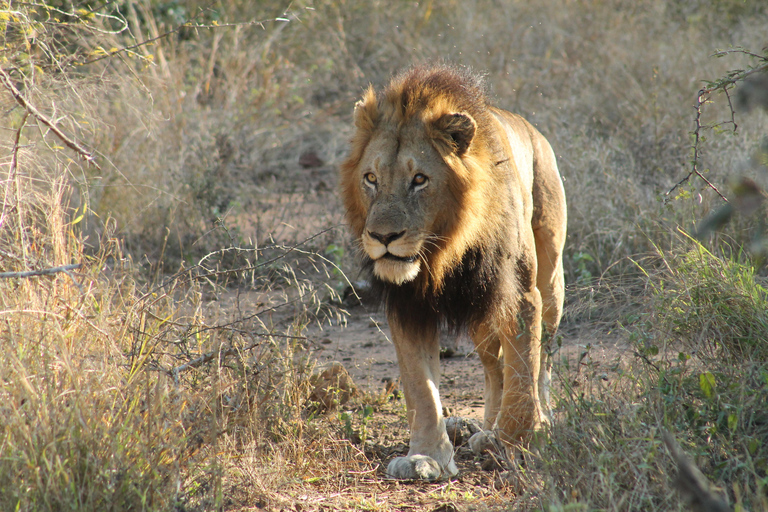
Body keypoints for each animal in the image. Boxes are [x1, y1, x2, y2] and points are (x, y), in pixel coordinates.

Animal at [340, 65, 568, 480]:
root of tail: (534, 131)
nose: (382, 237)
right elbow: (421, 387)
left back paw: (539, 421)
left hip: (551, 282)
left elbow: (524, 371)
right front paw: (426, 457)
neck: (443, 250)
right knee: (494, 370)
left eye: (419, 180)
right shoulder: (409, 305)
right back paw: (487, 428)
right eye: (370, 179)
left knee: (543, 359)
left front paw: (519, 440)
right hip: (482, 320)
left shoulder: (521, 295)